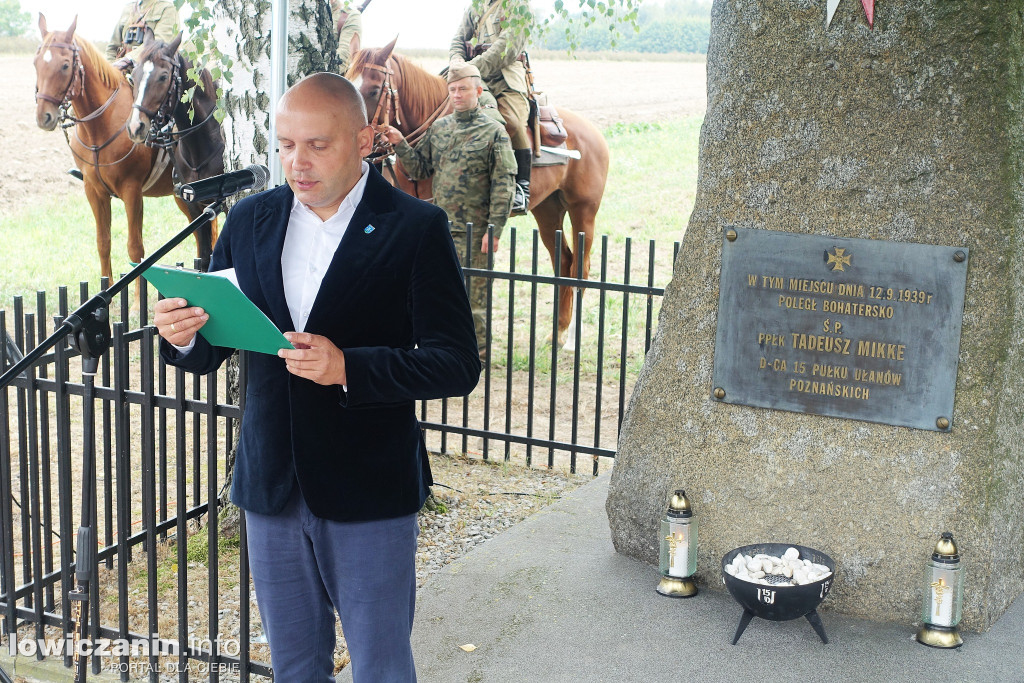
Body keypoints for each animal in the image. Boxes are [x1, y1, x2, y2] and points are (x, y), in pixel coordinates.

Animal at [32, 15, 211, 282]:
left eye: (64, 66)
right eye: (36, 63)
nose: (44, 116)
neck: (100, 128)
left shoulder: (132, 191)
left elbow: (135, 249)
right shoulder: (94, 191)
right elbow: (103, 243)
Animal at [352, 39, 606, 348]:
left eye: (374, 89)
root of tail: (593, 132)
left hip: (583, 211)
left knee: (581, 268)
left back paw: (571, 339)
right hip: (547, 211)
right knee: (565, 263)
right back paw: (557, 331)